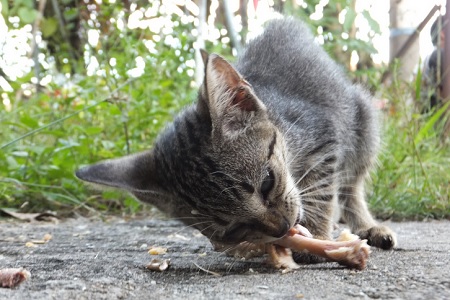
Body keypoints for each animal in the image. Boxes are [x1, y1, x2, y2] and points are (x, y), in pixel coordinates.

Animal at [75, 18, 396, 260]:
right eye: (233, 229)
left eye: (267, 182)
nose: (282, 228)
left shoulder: (323, 137)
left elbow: (321, 192)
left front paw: (316, 235)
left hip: (363, 121)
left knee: (351, 186)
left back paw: (370, 226)